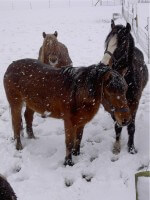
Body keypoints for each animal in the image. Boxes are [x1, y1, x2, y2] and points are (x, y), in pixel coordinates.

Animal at [101, 19, 149, 155]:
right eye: (107, 43)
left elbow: (131, 126)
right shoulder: (114, 104)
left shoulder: (134, 103)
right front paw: (117, 146)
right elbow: (117, 125)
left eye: (121, 45)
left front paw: (131, 147)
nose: (103, 65)